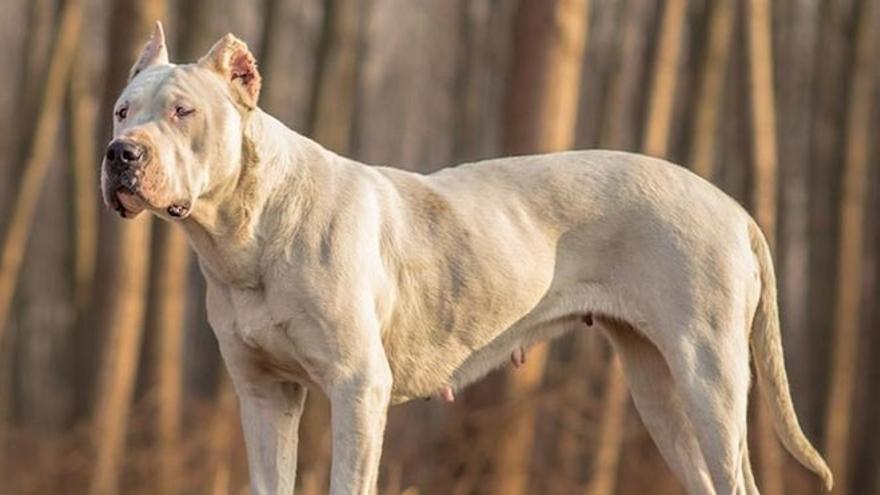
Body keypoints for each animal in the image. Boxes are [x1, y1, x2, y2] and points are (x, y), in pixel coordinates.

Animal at [103, 23, 832, 495]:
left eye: (183, 111)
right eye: (120, 111)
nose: (120, 154)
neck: (246, 231)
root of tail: (732, 207)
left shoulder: (358, 387)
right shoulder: (264, 393)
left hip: (708, 375)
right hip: (658, 386)